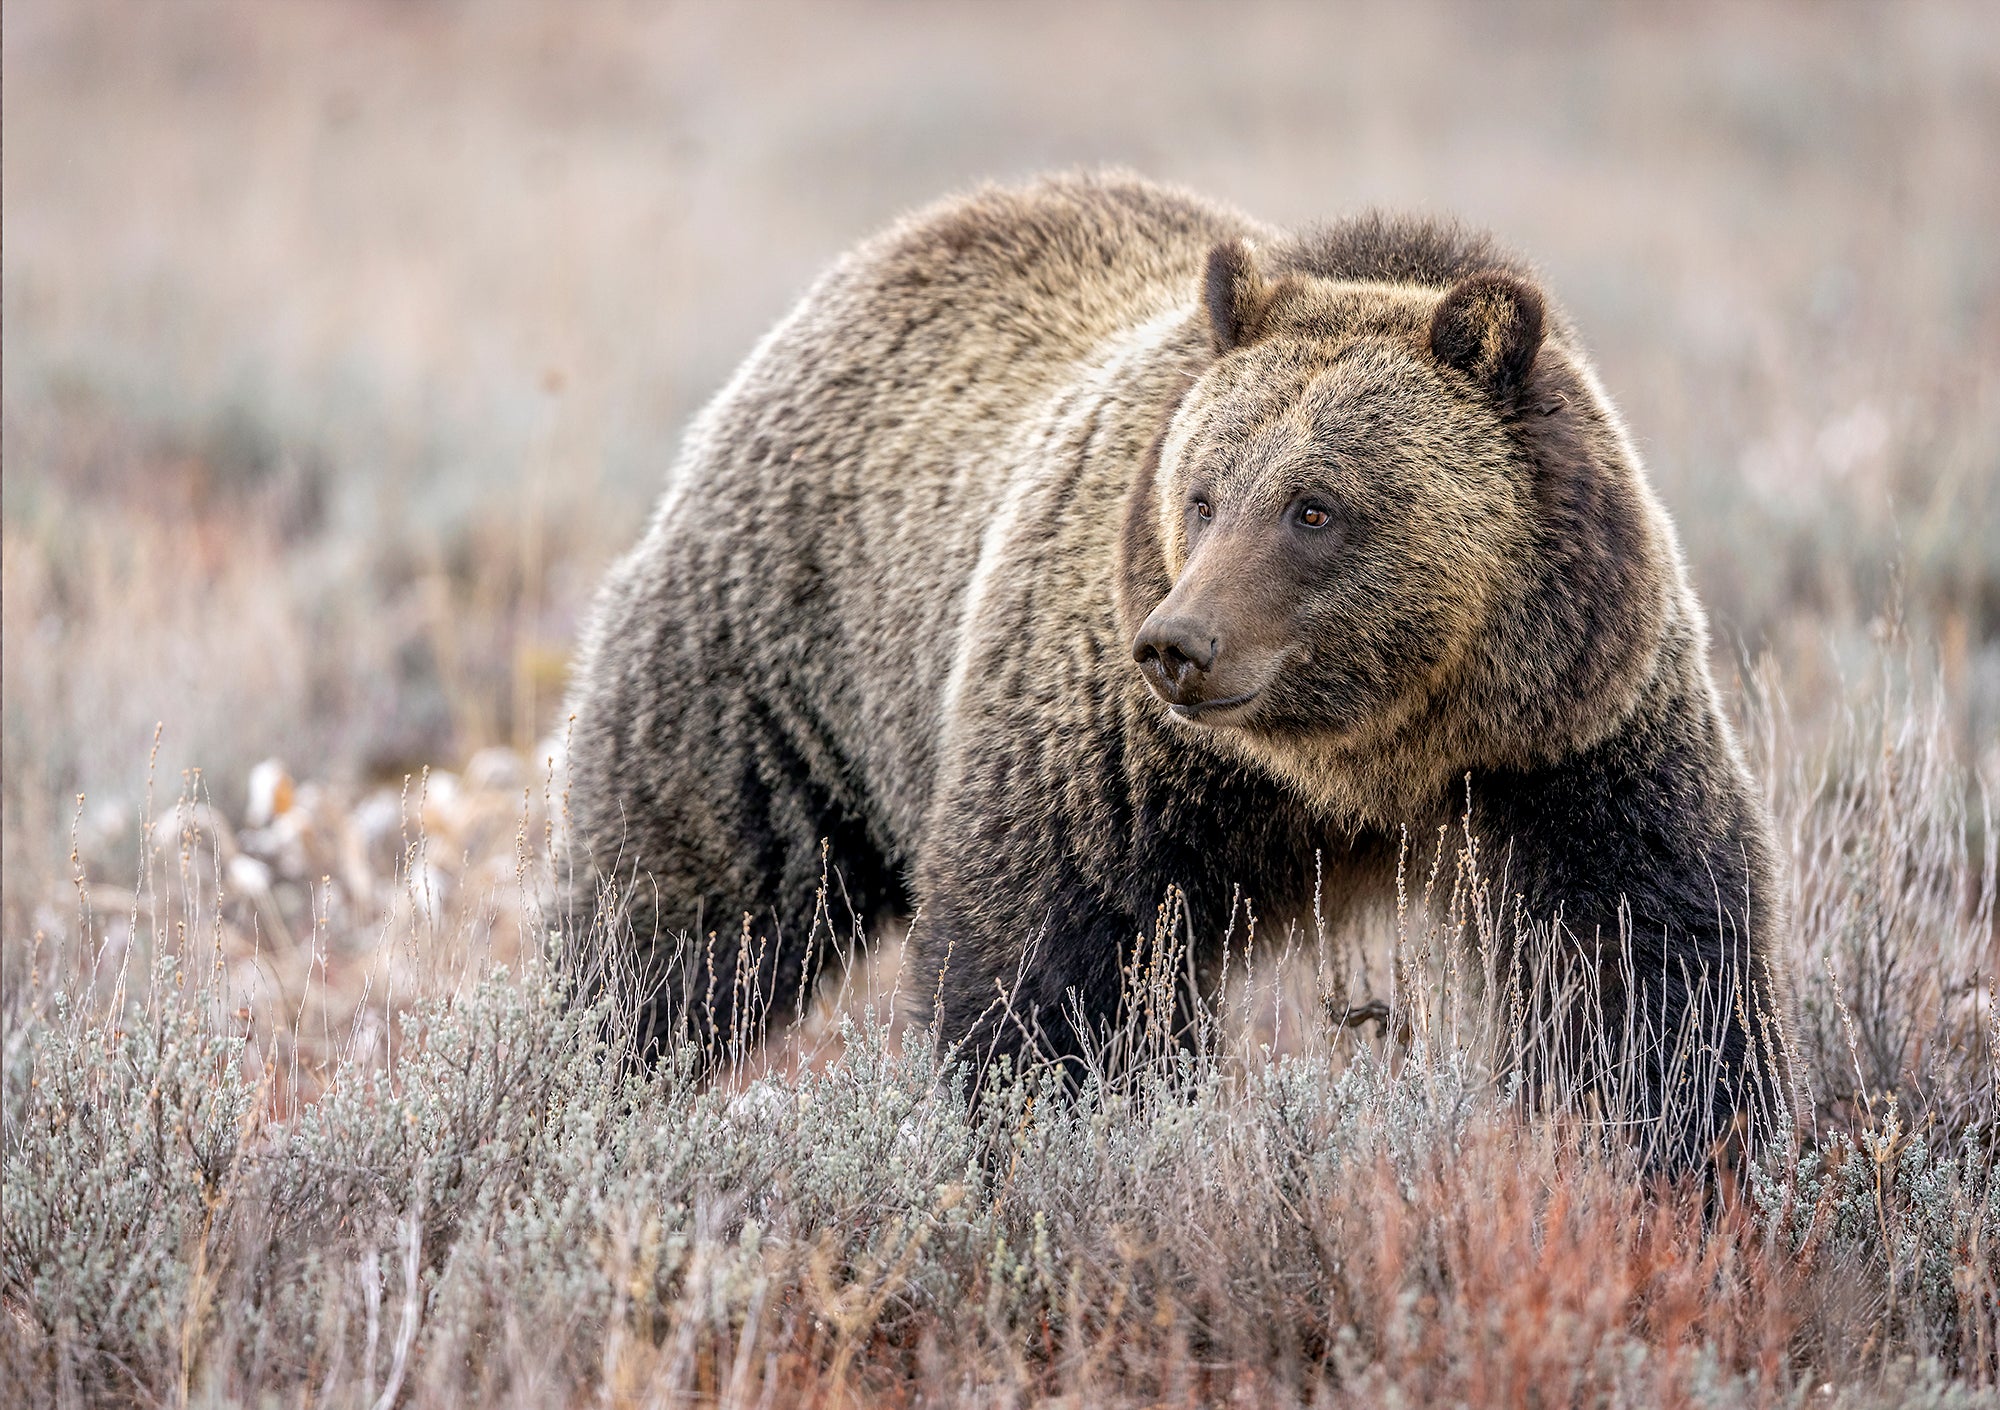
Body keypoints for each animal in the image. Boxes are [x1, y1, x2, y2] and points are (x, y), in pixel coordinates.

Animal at [564, 171, 1794, 1166]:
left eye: (1313, 507)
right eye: (1202, 495)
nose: (1177, 643)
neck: (1357, 764)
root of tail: (886, 251)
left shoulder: (1566, 741)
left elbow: (1643, 965)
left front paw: (1684, 1155)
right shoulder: (1113, 756)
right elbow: (1053, 975)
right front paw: (1069, 1135)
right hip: (777, 664)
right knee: (681, 910)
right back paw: (582, 1067)